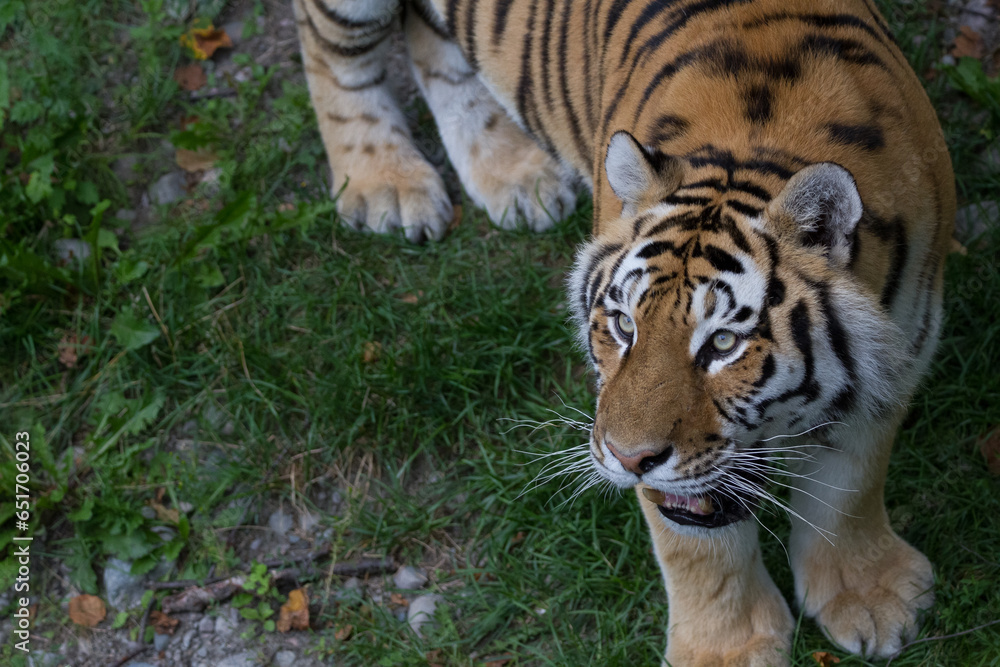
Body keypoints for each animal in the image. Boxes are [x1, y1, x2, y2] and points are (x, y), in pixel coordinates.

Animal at [294, 0, 954, 663]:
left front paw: (870, 599)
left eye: (723, 344)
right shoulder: (614, 411)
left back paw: (514, 176)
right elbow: (695, 547)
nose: (632, 458)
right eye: (623, 324)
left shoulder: (898, 357)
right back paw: (387, 186)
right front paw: (724, 650)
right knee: (330, 53)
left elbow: (850, 490)